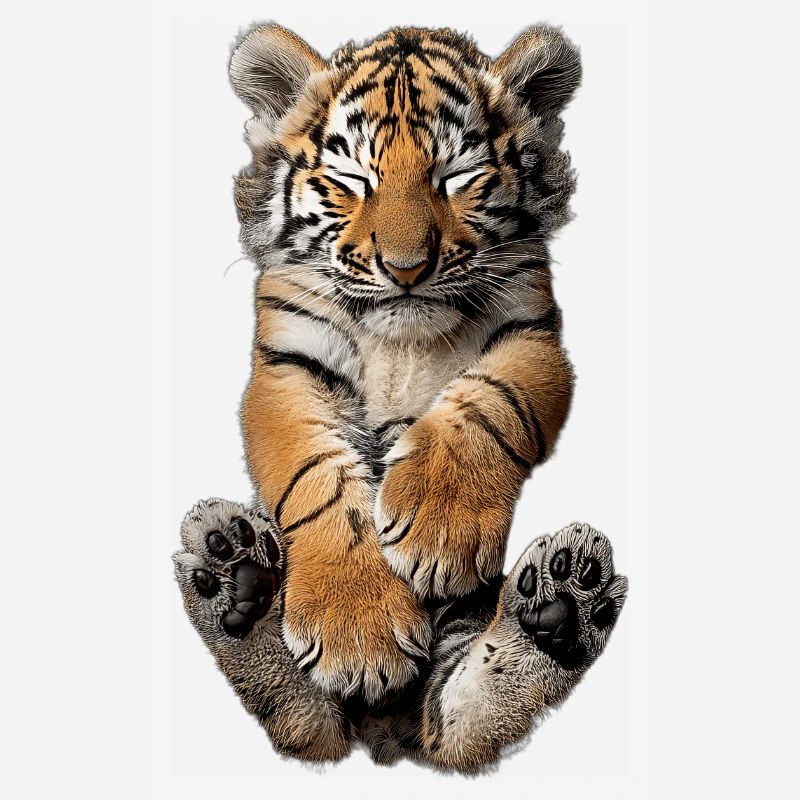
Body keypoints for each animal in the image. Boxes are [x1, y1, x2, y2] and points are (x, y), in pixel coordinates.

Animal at [173, 23, 627, 771]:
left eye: (457, 178)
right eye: (354, 181)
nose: (405, 268)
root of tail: (388, 736)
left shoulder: (532, 333)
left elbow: (487, 404)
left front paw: (440, 531)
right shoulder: (285, 364)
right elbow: (315, 474)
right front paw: (358, 631)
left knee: (463, 720)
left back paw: (565, 599)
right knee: (309, 718)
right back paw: (233, 579)